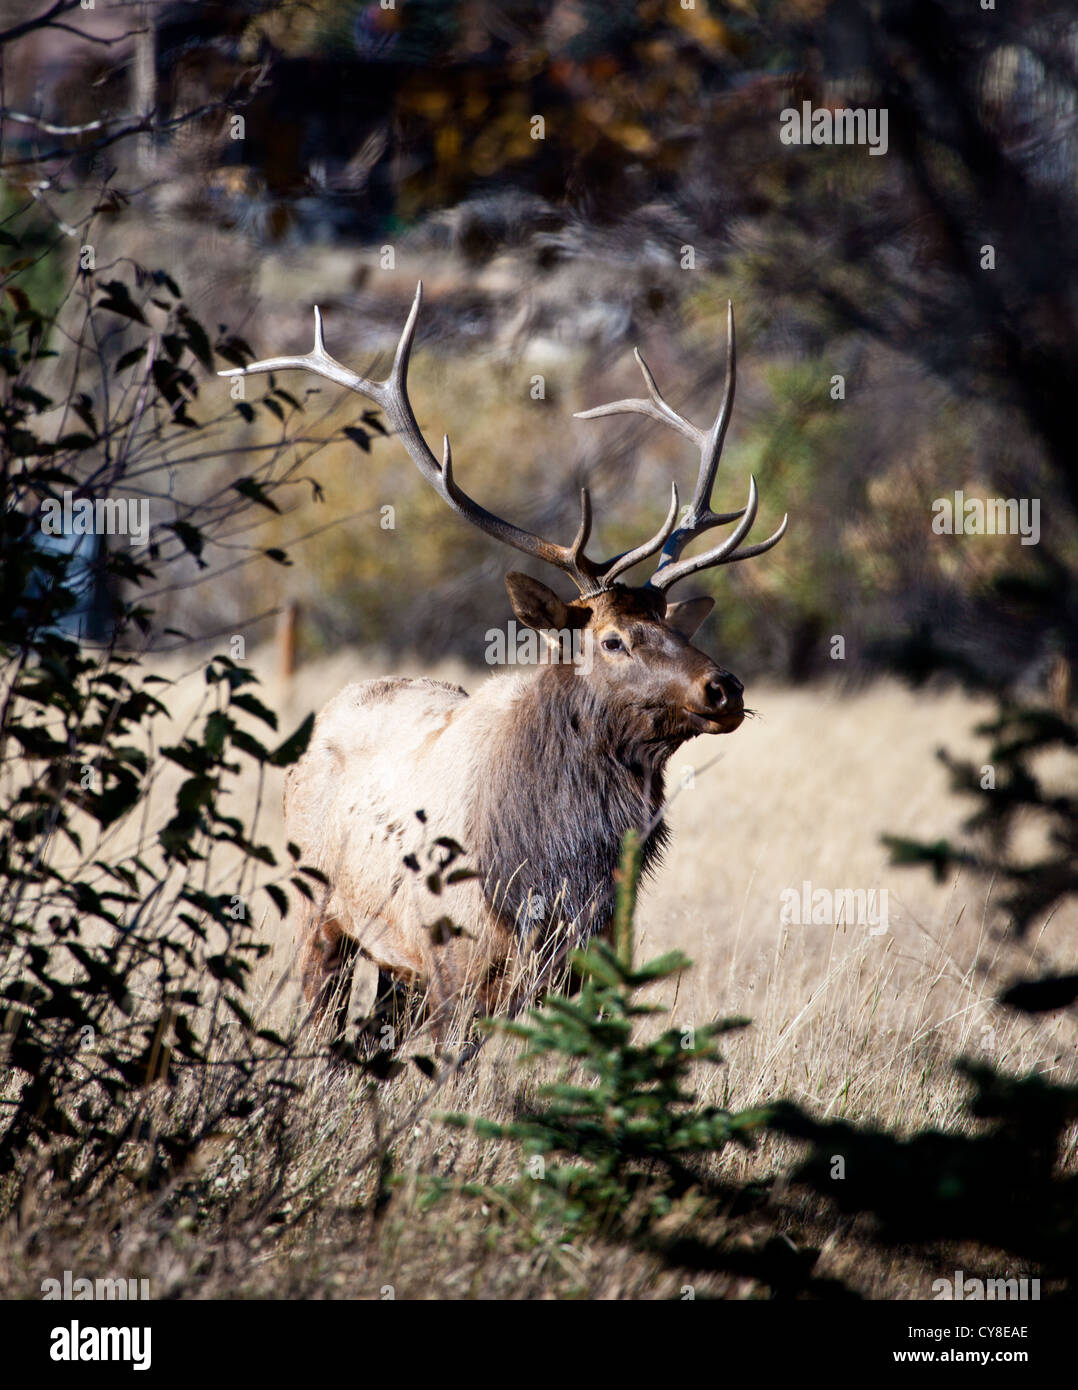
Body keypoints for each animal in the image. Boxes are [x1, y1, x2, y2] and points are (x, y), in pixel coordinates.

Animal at [223, 282, 789, 1045]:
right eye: (612, 639)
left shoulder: (589, 969)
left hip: (394, 965)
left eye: (673, 623)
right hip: (323, 913)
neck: (552, 875)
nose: (723, 688)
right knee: (320, 1026)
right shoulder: (455, 972)